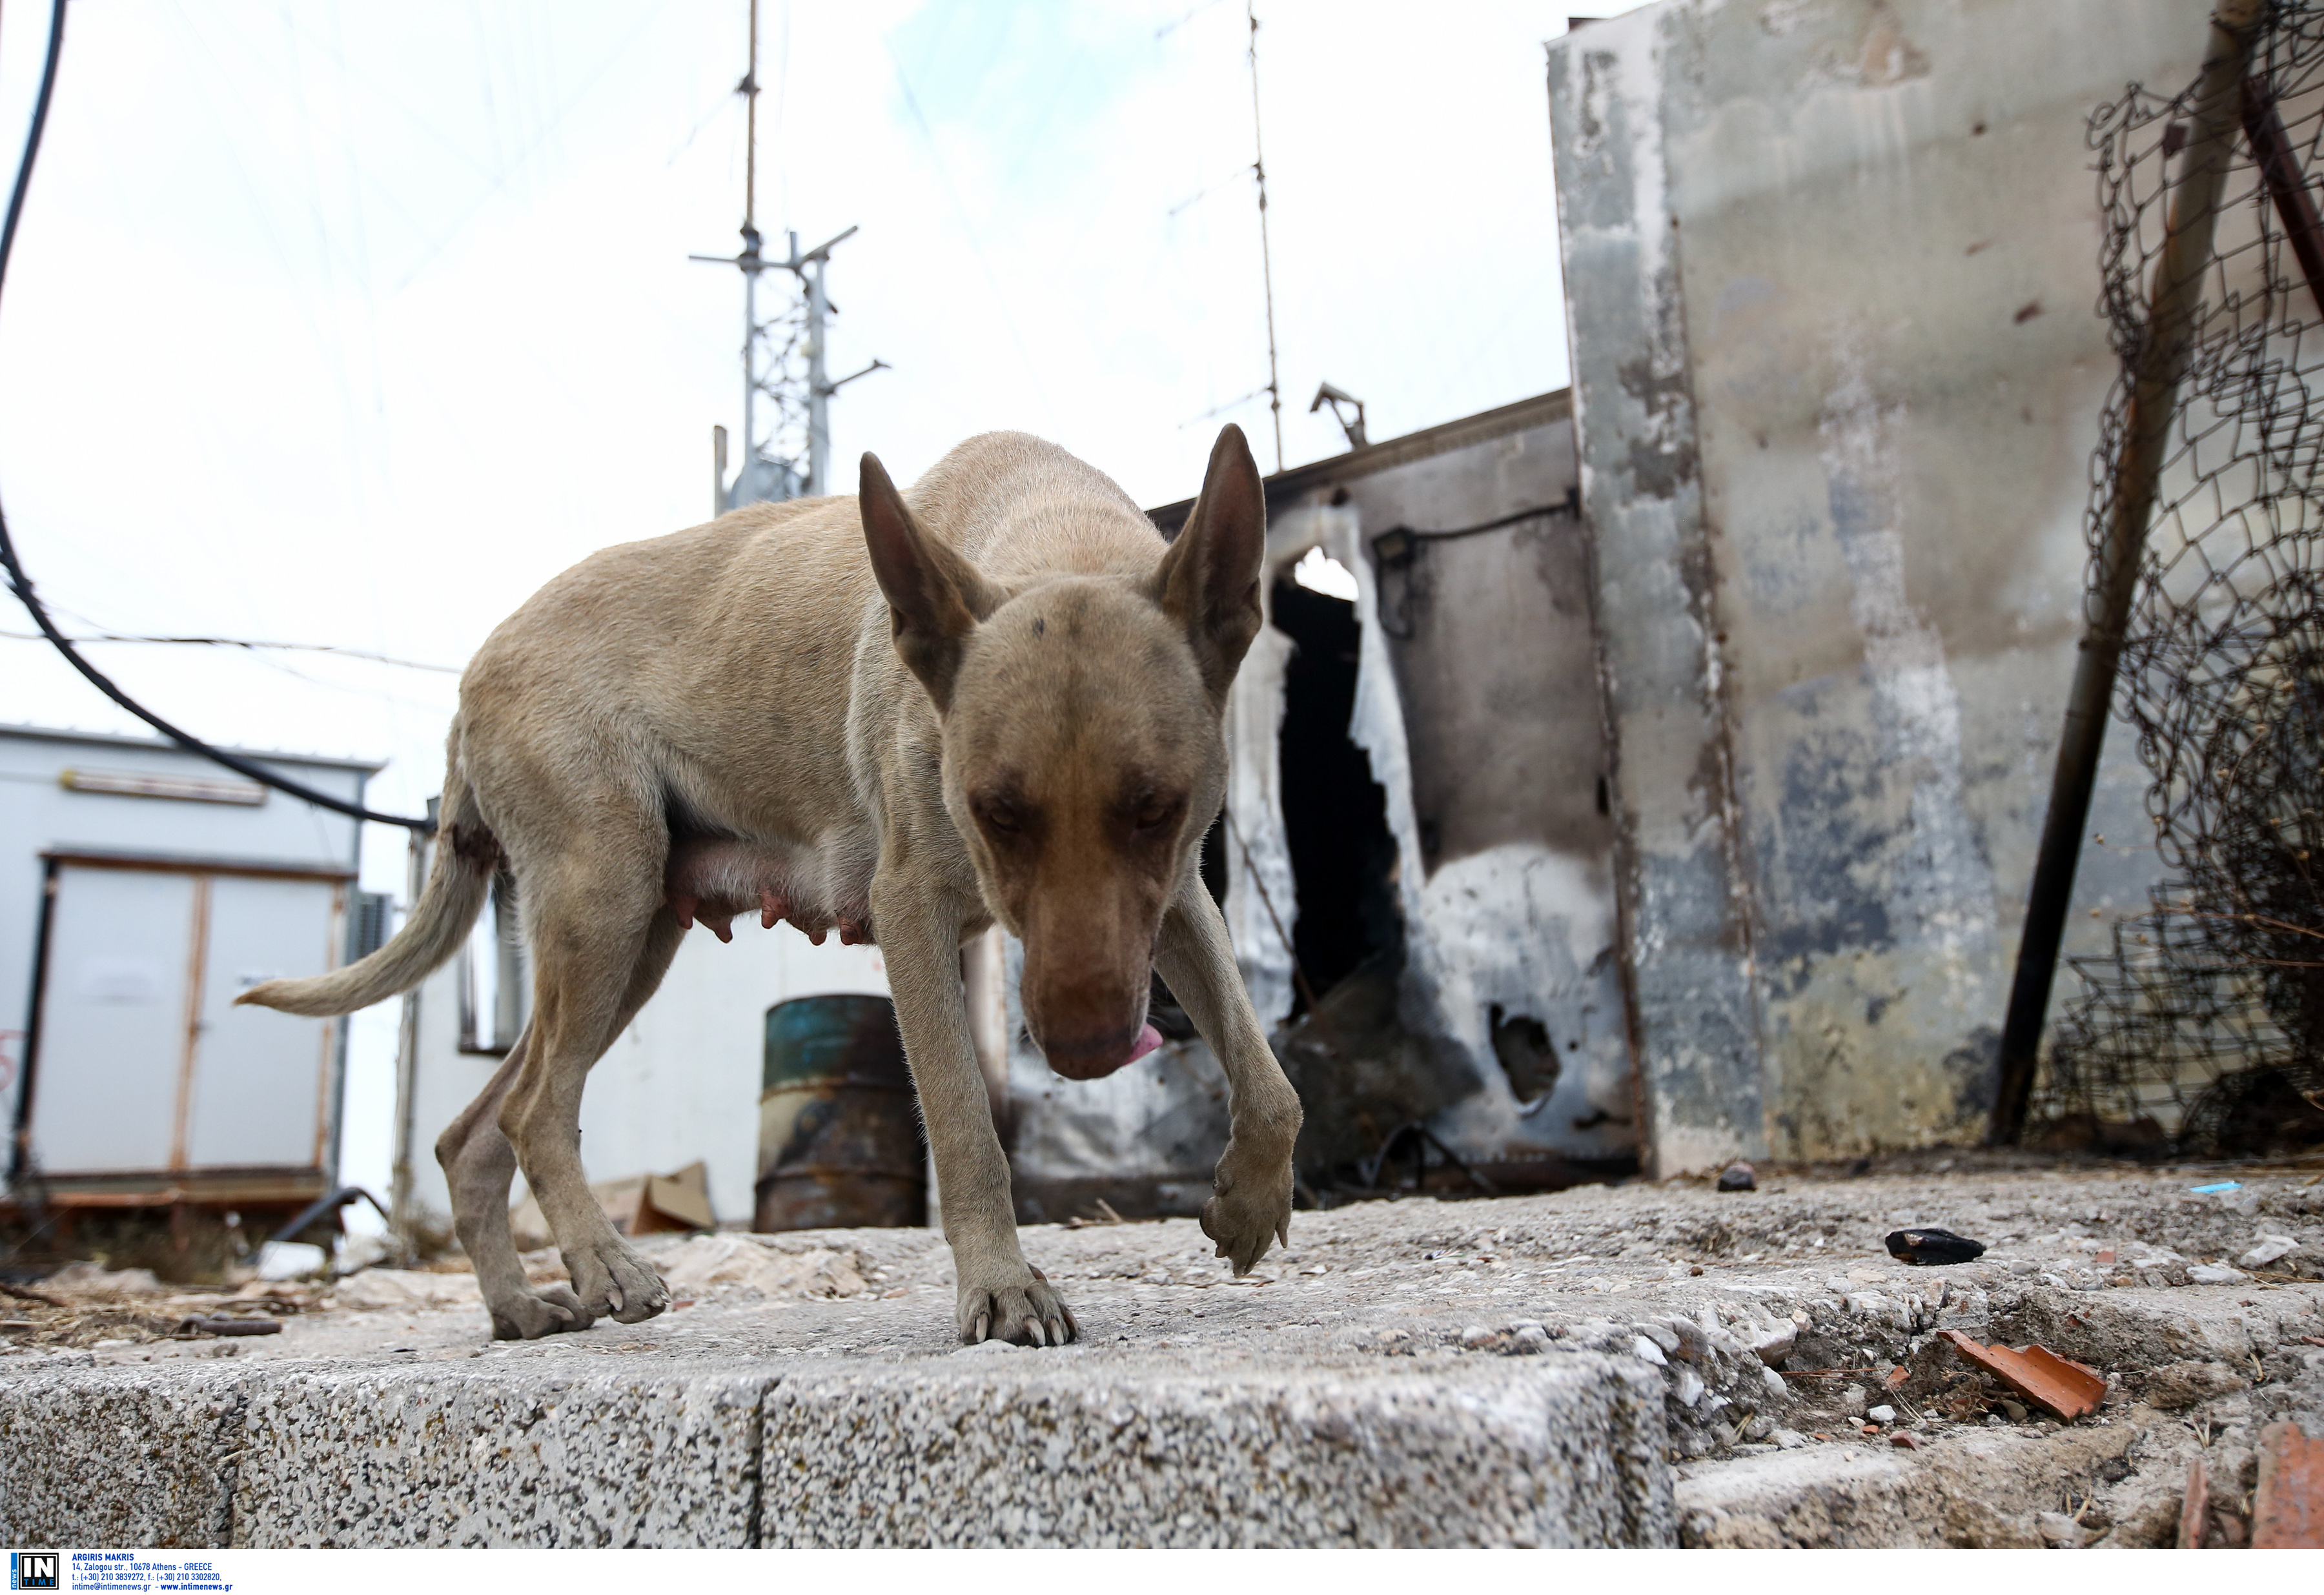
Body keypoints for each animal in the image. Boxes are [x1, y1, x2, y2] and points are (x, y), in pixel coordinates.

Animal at [243, 425, 1301, 1348]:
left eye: (1155, 807)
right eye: (995, 811)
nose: (1087, 1052)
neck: (1051, 534)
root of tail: (472, 676)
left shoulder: (1176, 899)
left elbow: (1270, 1079)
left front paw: (1250, 1202)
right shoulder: (913, 912)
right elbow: (965, 1126)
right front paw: (1003, 1286)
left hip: (631, 943)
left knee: (472, 1133)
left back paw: (519, 1305)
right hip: (602, 901)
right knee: (532, 1109)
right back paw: (606, 1263)